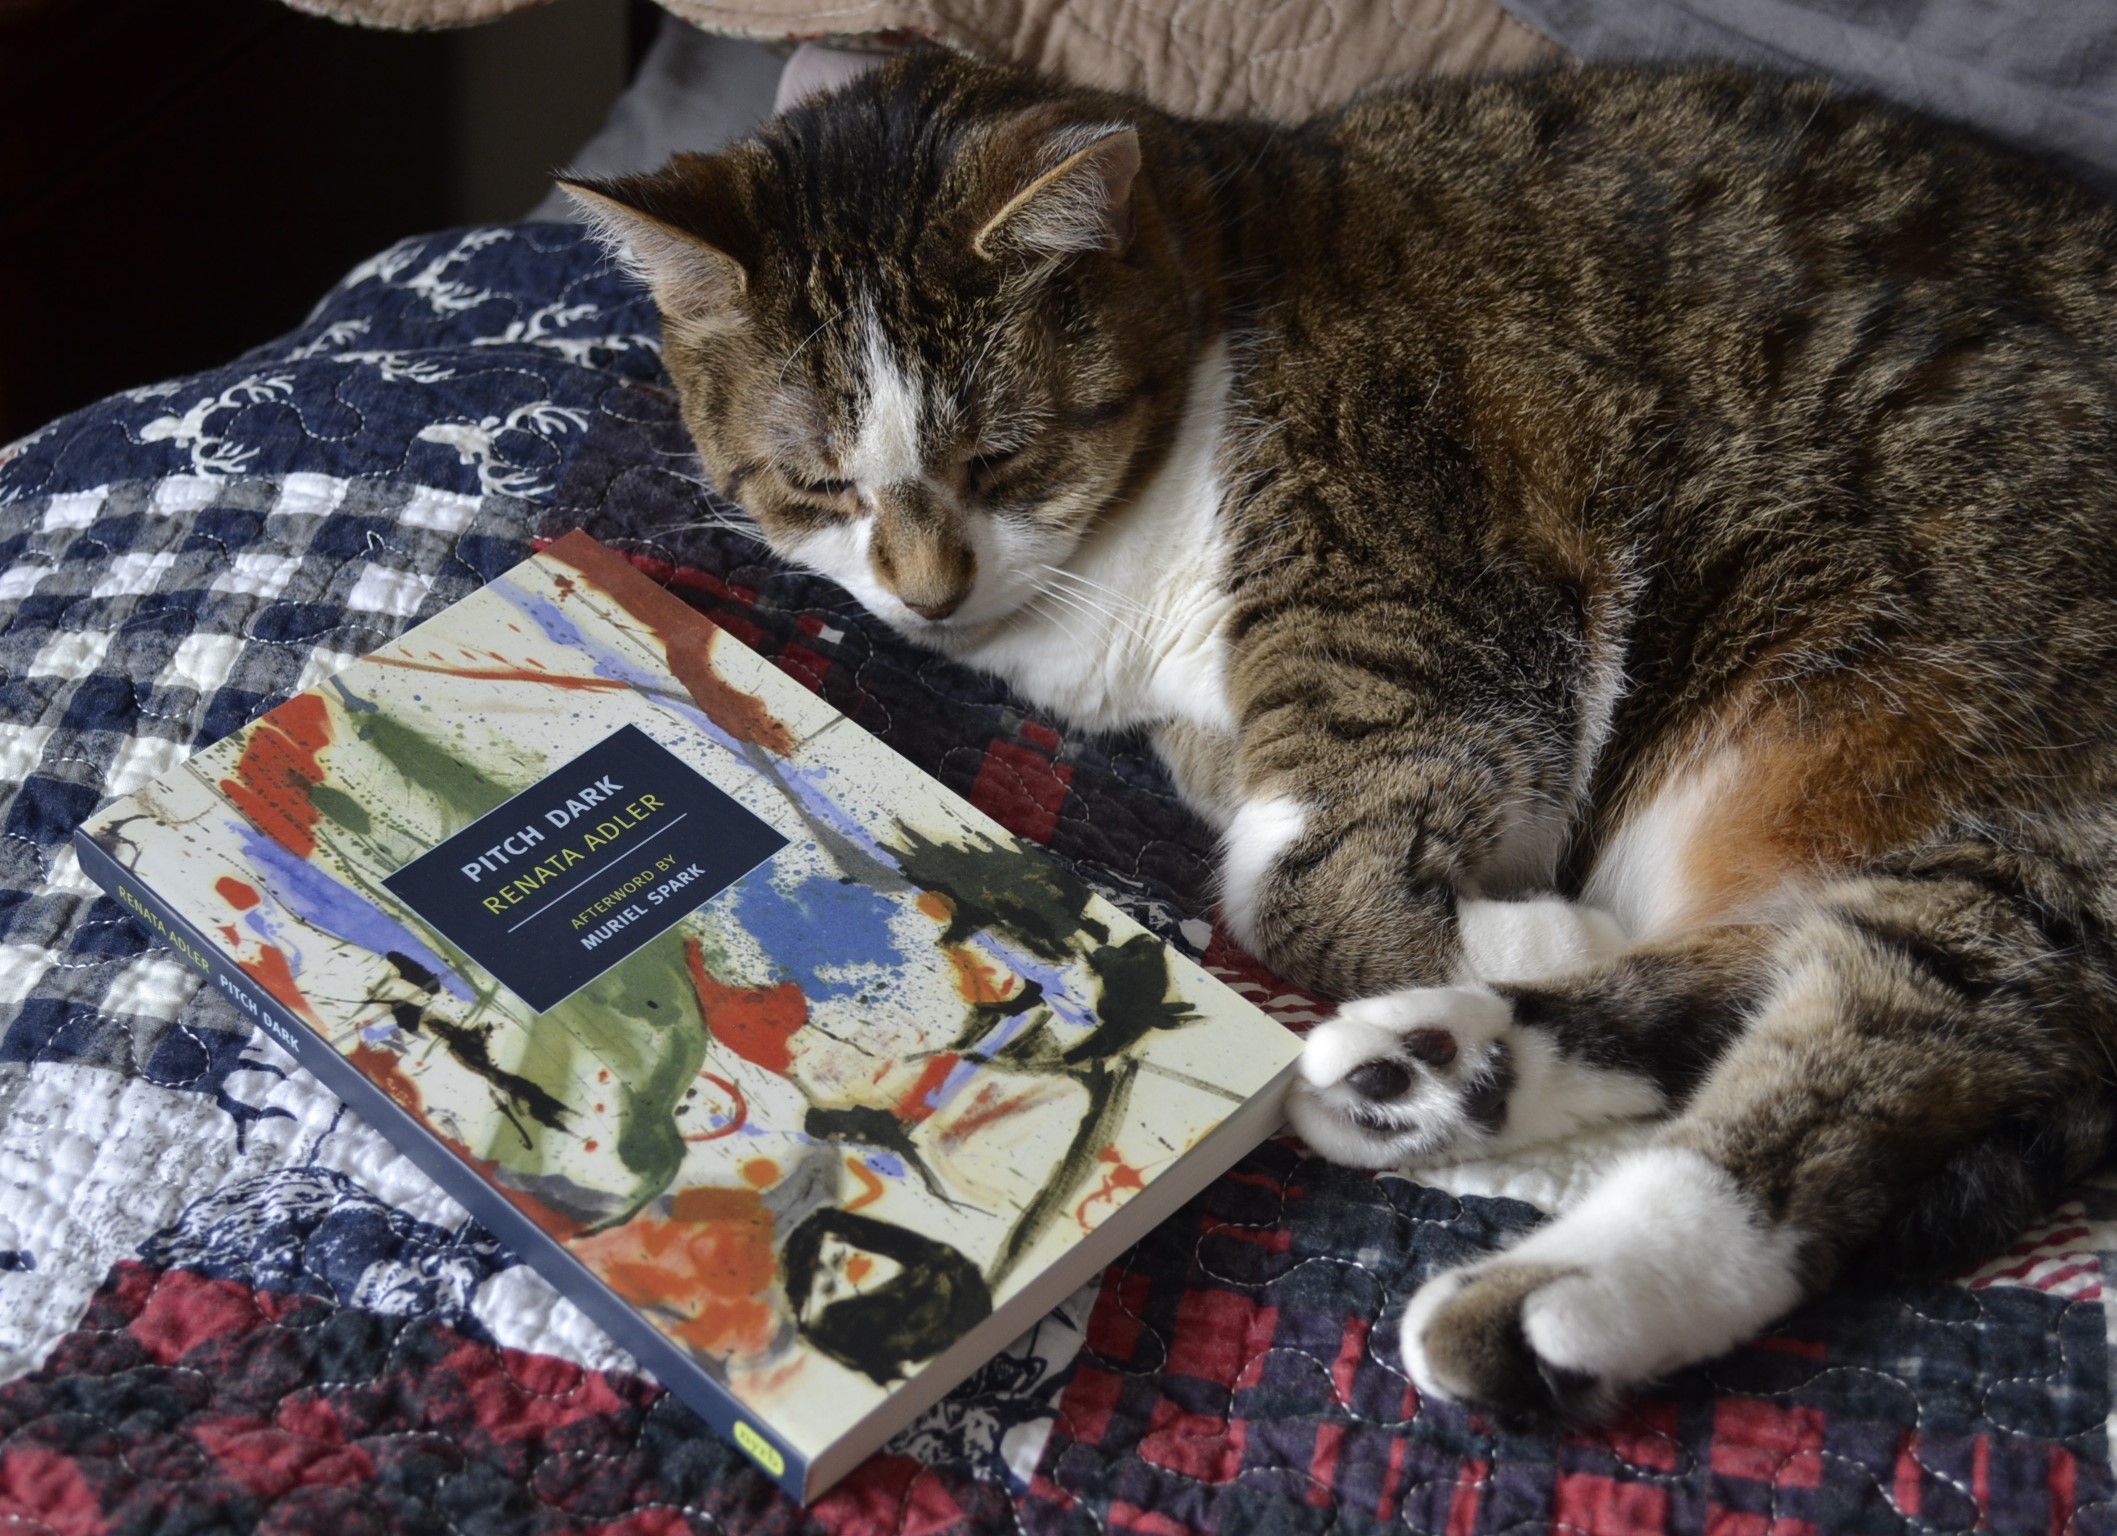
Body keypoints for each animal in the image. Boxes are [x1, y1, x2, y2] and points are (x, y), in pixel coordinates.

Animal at [563, 54, 2117, 1421]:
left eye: (997, 457)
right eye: (819, 484)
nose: (924, 593)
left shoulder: (1422, 623)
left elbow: (1284, 883)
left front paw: (1511, 920)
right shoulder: (1219, 723)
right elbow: (1261, 826)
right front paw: (1515, 934)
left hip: (2012, 809)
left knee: (1905, 1041)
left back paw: (1552, 1295)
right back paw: (1427, 1073)